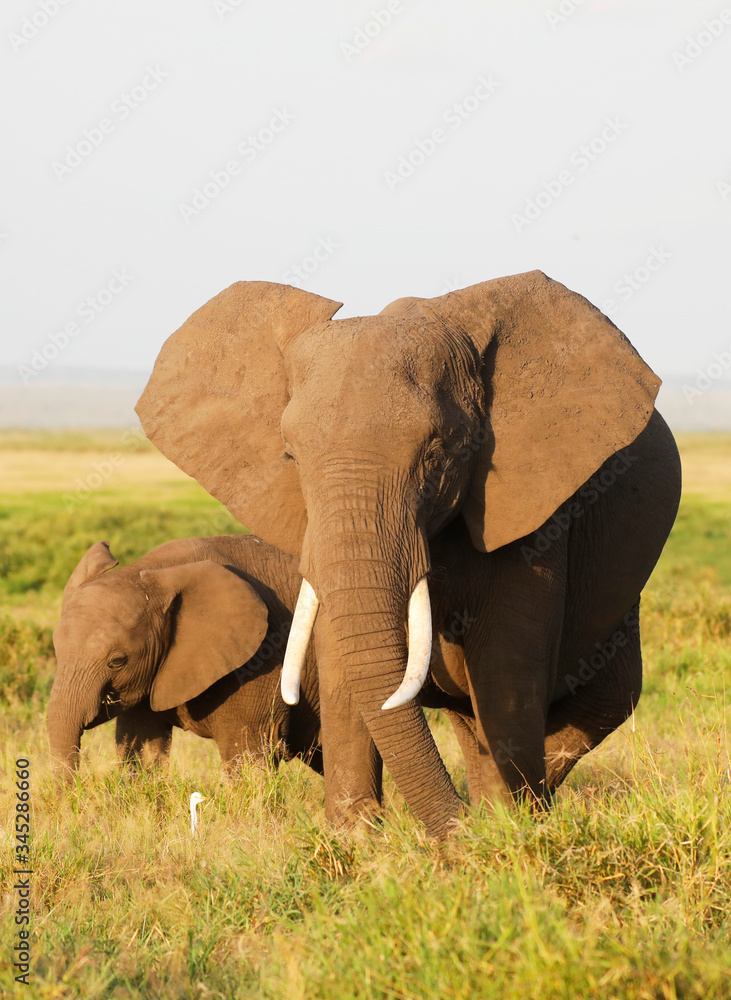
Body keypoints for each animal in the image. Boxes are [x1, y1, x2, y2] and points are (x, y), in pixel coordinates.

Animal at [48, 535, 323, 778]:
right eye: (57, 651)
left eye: (117, 662)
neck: (156, 571)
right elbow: (142, 752)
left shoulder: (261, 660)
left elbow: (247, 760)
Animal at [135, 269, 682, 836]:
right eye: (290, 457)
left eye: (439, 453)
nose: (455, 834)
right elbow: (340, 649)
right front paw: (356, 838)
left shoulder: (539, 512)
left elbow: (506, 663)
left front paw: (504, 834)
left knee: (602, 702)